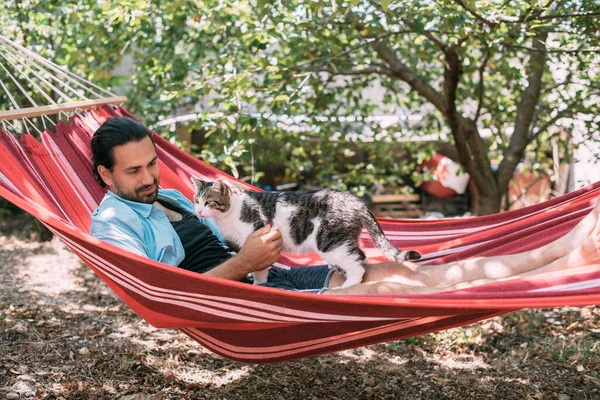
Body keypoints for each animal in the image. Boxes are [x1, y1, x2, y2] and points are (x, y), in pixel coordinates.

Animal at [190, 177, 420, 288]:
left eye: (209, 202)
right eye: (196, 200)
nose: (199, 211)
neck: (228, 215)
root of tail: (355, 200)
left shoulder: (258, 237)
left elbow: (259, 270)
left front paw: (260, 285)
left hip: (330, 242)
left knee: (359, 261)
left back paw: (346, 286)